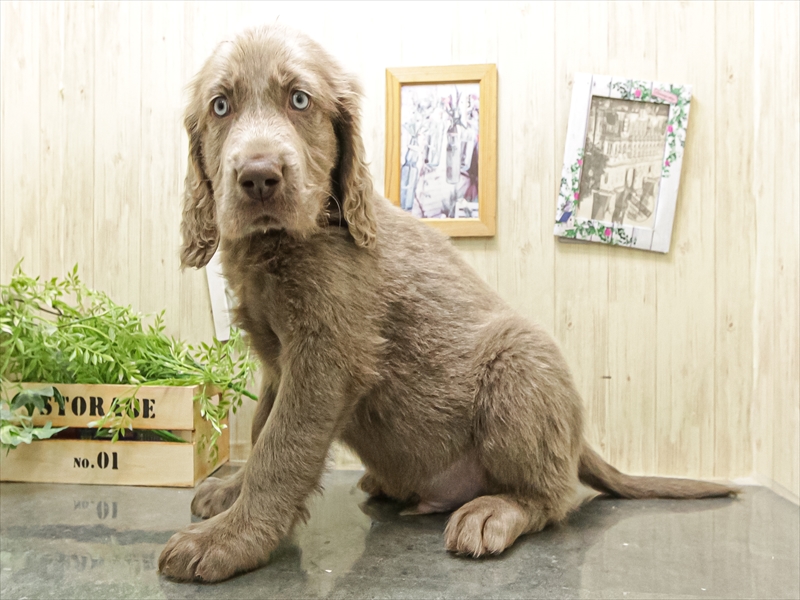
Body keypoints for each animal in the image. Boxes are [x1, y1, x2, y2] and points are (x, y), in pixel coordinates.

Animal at [158, 25, 737, 582]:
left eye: (300, 100)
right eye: (220, 106)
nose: (258, 176)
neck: (280, 244)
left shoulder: (325, 356)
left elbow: (281, 448)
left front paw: (228, 541)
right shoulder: (278, 361)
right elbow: (261, 430)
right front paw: (229, 493)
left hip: (520, 361)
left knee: (553, 497)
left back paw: (494, 512)